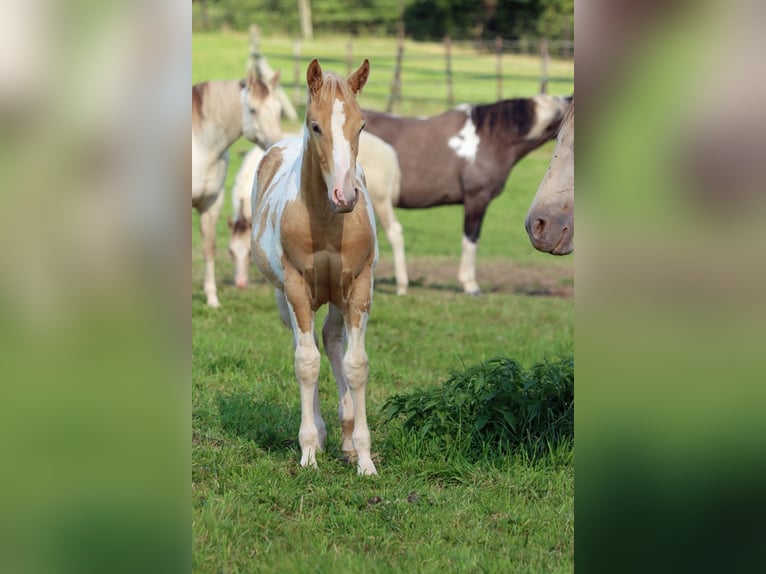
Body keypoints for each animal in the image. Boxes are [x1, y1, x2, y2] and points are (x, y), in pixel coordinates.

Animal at [230, 129, 412, 294]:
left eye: (249, 253)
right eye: (231, 252)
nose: (240, 284)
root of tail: (388, 151)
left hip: (381, 202)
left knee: (394, 233)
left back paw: (401, 286)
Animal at [252, 58, 378, 476]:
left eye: (361, 125)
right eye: (316, 125)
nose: (346, 196)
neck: (324, 219)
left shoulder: (358, 285)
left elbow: (356, 364)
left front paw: (364, 459)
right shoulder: (295, 286)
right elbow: (306, 364)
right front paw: (308, 452)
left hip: (336, 295)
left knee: (332, 341)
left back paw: (346, 435)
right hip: (290, 297)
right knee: (305, 347)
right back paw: (321, 434)